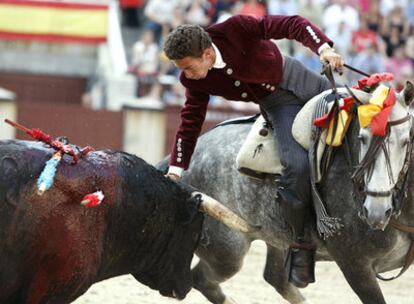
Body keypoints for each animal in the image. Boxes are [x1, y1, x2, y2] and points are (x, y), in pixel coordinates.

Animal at [158, 81, 414, 304]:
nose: (377, 212)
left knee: (275, 277)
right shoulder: (354, 265)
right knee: (203, 279)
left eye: (406, 140)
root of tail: (175, 167)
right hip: (226, 250)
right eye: (362, 138)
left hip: (275, 239)